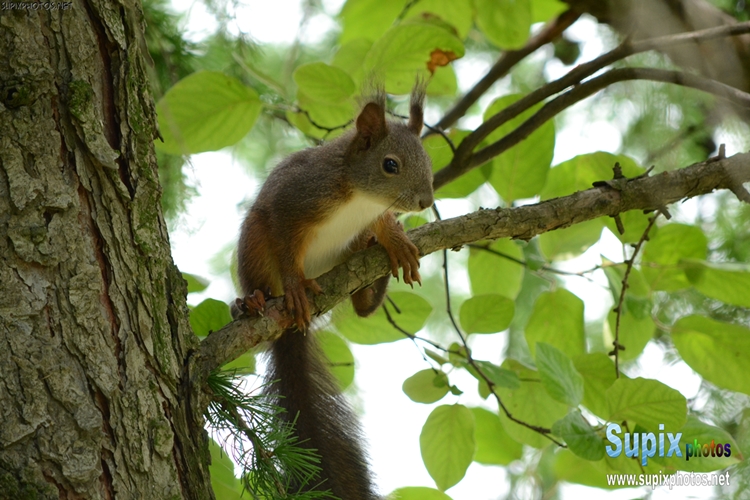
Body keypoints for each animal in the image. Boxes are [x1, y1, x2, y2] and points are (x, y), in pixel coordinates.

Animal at [233, 84, 434, 499]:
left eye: (427, 158)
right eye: (390, 165)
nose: (427, 201)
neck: (360, 198)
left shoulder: (372, 213)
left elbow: (384, 222)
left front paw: (395, 239)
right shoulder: (294, 200)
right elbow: (285, 242)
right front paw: (294, 285)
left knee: (360, 304)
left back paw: (370, 266)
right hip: (254, 242)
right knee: (261, 273)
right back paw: (254, 300)